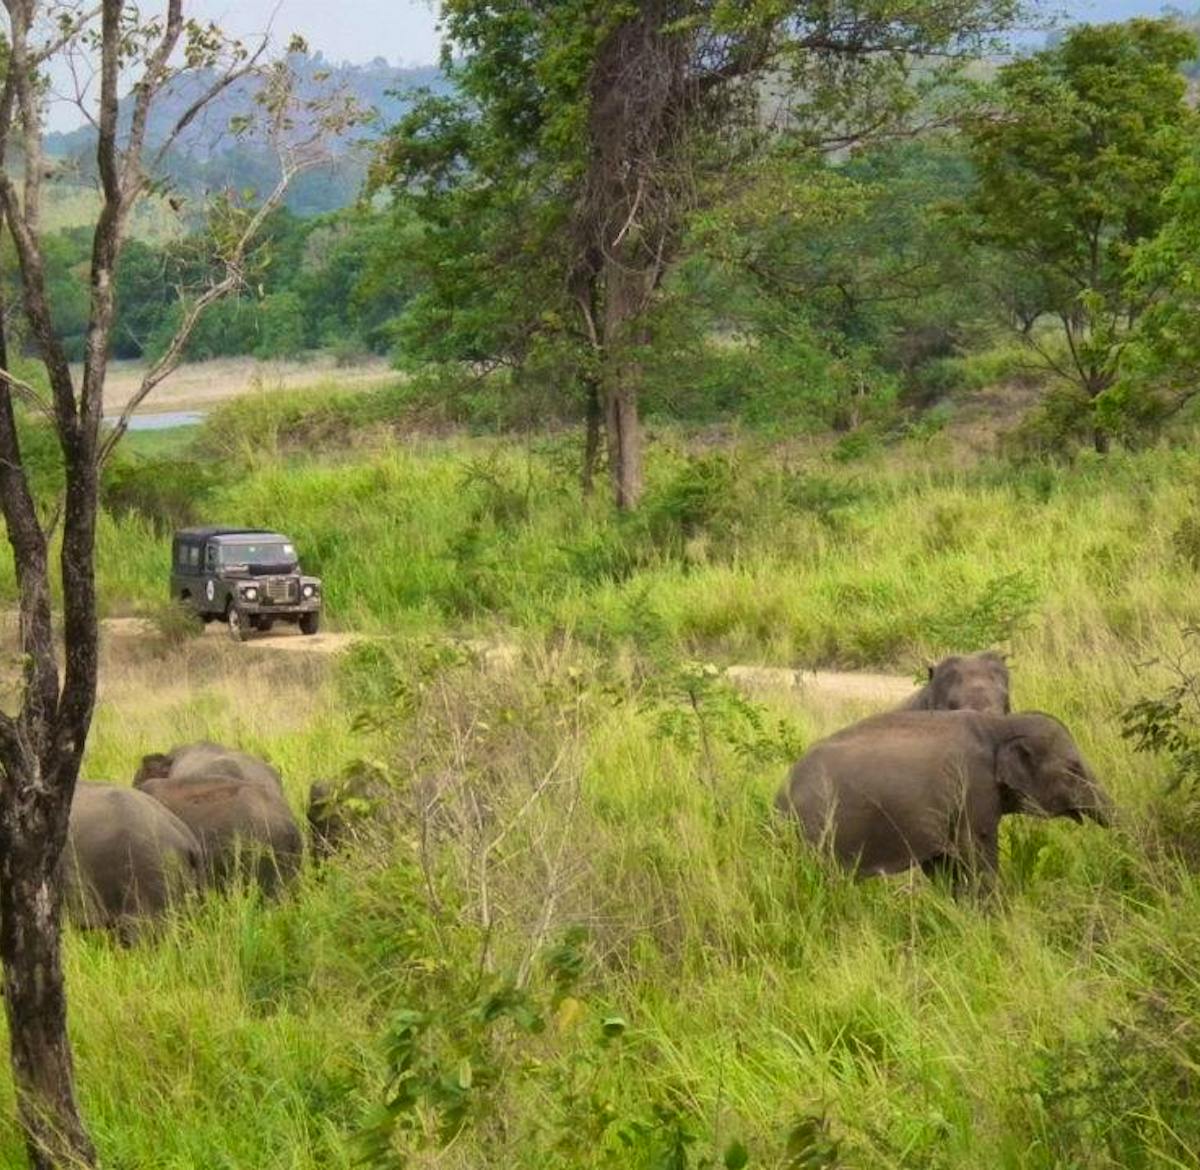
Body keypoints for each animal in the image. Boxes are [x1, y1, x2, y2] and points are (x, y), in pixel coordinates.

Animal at [775, 709, 1112, 889]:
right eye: (1074, 768)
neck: (998, 726)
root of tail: (779, 797)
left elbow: (942, 863)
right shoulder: (974, 789)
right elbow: (977, 855)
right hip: (816, 831)